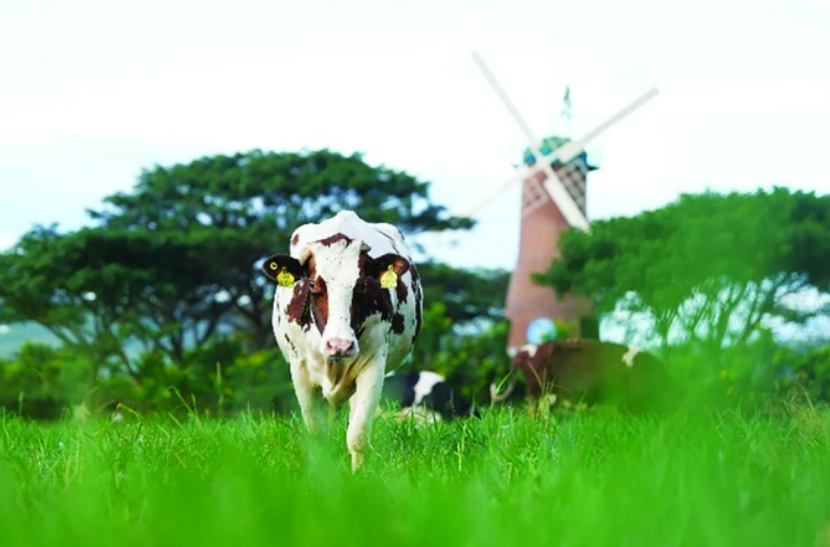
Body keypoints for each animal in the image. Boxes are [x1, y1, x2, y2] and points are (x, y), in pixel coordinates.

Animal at [261, 210, 423, 471]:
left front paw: (358, 474)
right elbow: (317, 434)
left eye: (363, 284)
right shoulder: (300, 370)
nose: (340, 345)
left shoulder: (373, 366)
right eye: (313, 284)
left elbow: (357, 434)